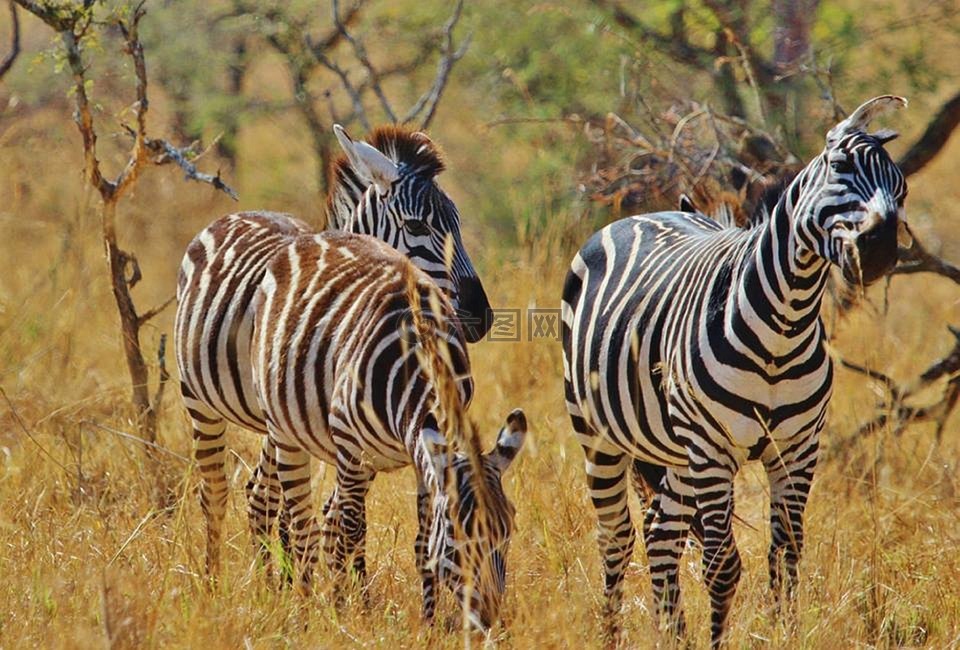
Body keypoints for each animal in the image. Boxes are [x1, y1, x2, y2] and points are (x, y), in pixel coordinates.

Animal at [174, 124, 496, 576]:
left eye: (459, 224)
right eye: (416, 226)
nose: (480, 316)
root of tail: (235, 214)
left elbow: (330, 517)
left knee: (259, 494)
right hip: (199, 398)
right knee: (219, 493)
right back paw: (216, 579)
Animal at [556, 96, 908, 644]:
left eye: (902, 187)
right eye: (838, 166)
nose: (880, 249)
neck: (783, 326)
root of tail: (643, 214)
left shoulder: (797, 449)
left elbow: (785, 558)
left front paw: (785, 636)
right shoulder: (714, 450)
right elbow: (723, 567)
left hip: (678, 453)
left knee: (660, 534)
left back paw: (673, 636)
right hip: (602, 434)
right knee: (615, 537)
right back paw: (612, 636)